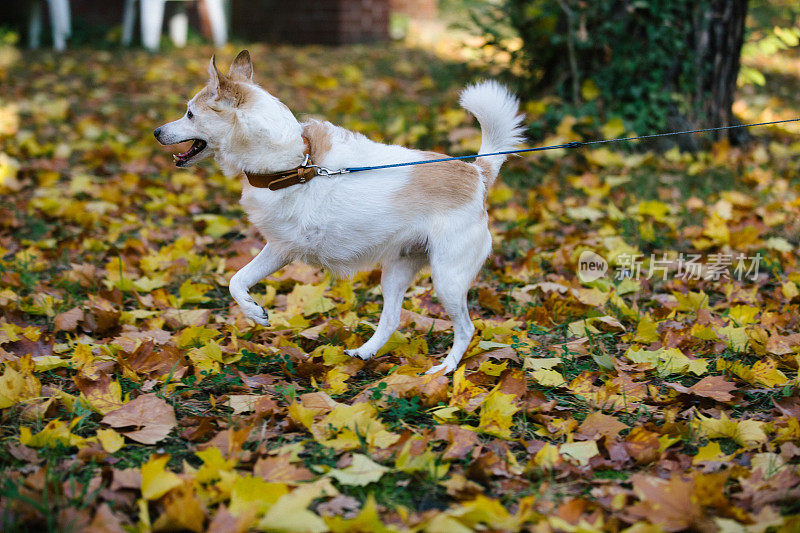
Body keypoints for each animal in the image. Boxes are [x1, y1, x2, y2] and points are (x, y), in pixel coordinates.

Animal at [154, 51, 524, 374]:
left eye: (189, 114)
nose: (156, 131)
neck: (294, 164)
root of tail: (476, 173)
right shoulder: (278, 249)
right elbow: (238, 279)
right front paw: (254, 312)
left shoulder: (283, 249)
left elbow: (235, 281)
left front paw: (253, 312)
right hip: (397, 271)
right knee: (392, 319)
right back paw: (366, 352)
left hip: (447, 279)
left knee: (466, 328)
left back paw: (445, 369)